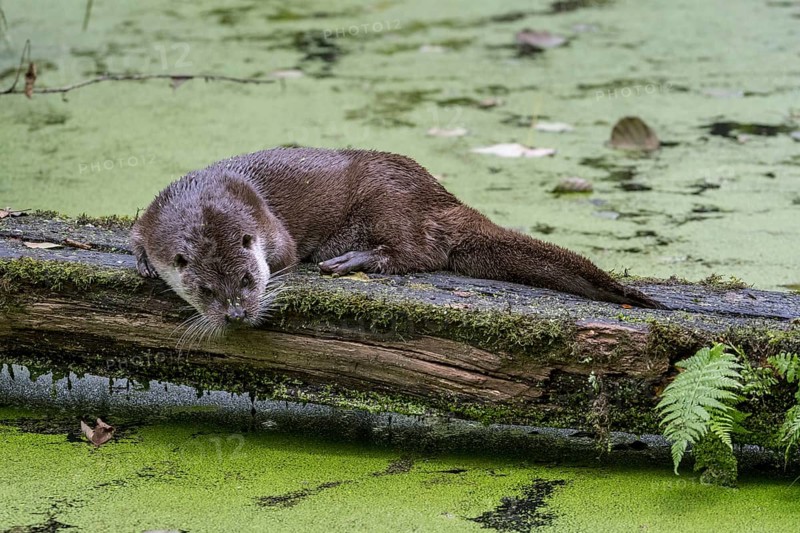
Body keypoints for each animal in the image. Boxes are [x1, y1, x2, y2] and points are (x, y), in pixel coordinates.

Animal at [131, 148, 662, 333]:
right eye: (206, 290)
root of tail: (442, 196)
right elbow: (137, 236)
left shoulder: (267, 226)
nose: (237, 316)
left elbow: (285, 254)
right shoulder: (154, 215)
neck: (203, 196)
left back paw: (354, 260)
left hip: (388, 197)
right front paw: (141, 261)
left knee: (419, 251)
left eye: (247, 279)